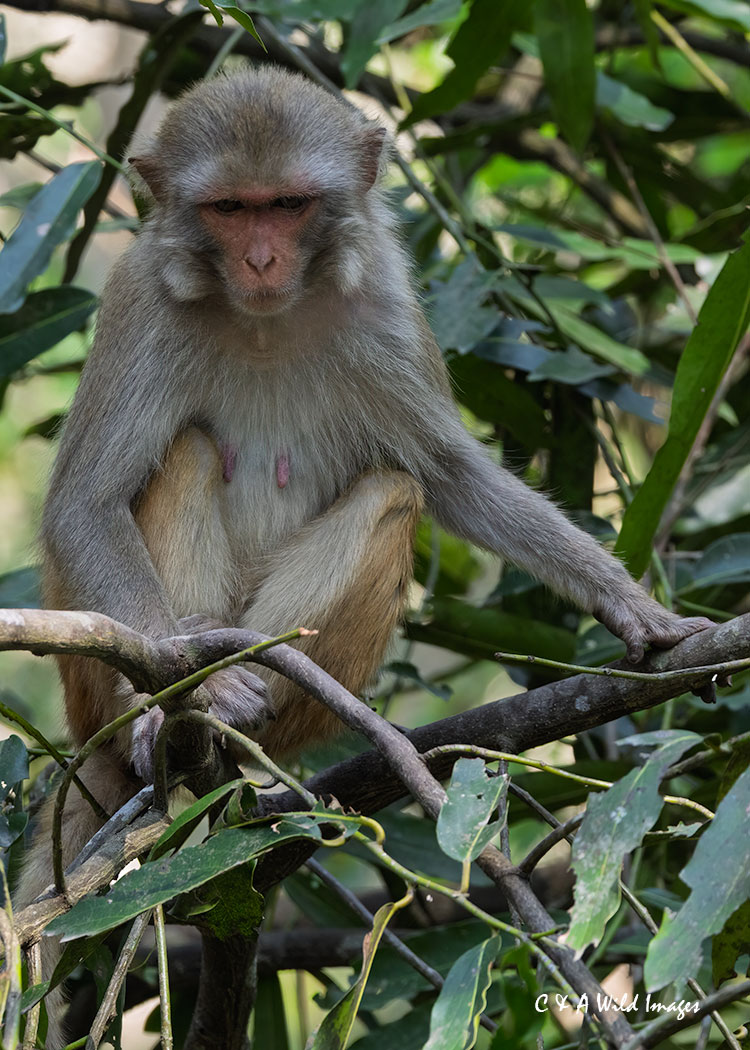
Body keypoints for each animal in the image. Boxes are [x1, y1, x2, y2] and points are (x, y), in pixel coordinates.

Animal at [16, 66, 711, 1045]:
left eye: (288, 206)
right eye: (230, 209)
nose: (261, 262)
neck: (264, 320)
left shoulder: (385, 303)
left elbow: (449, 474)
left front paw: (625, 602)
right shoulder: (137, 301)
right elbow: (85, 502)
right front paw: (178, 691)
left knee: (392, 488)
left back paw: (243, 713)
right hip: (88, 692)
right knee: (183, 452)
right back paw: (176, 716)